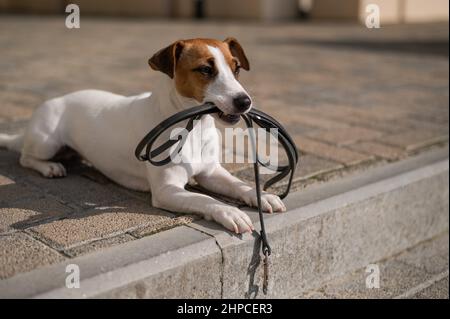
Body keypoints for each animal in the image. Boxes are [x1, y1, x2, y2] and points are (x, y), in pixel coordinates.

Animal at [0, 38, 286, 235]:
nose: (245, 101)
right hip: (46, 141)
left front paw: (260, 195)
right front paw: (229, 211)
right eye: (205, 69)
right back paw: (49, 167)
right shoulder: (167, 190)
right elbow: (204, 198)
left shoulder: (211, 172)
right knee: (25, 157)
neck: (194, 127)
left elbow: (238, 185)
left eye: (236, 69)